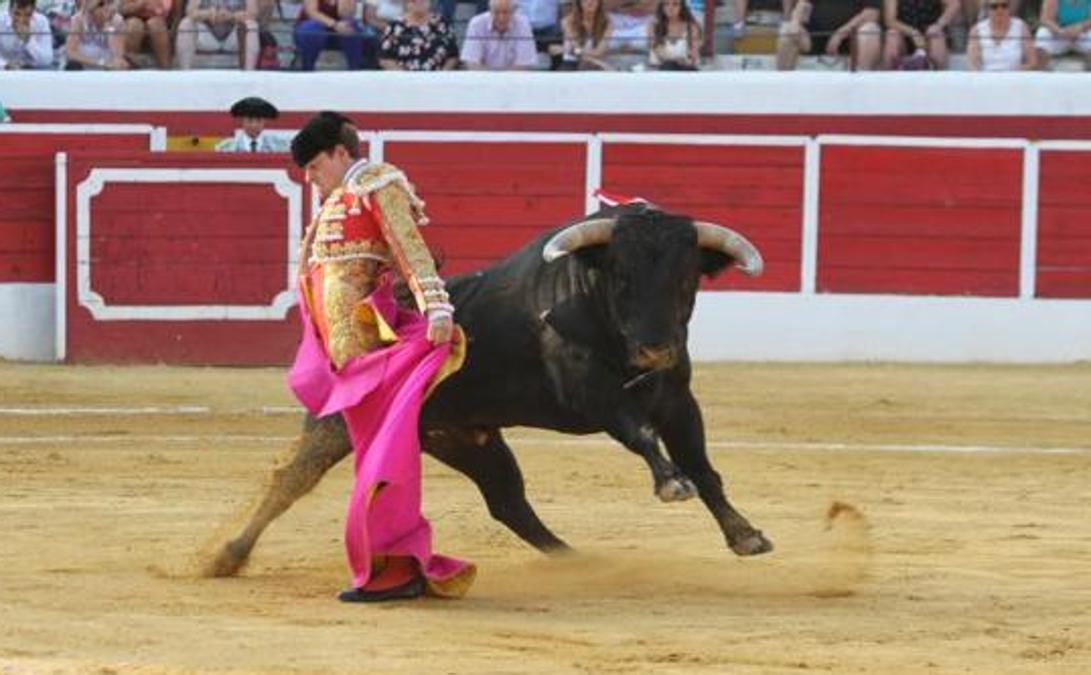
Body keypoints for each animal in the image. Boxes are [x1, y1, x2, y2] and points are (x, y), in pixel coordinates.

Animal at [202, 202, 768, 580]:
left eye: (686, 281)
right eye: (620, 276)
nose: (655, 349)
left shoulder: (678, 401)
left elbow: (704, 469)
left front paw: (745, 535)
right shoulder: (594, 396)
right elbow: (643, 435)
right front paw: (671, 484)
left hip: (466, 439)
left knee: (507, 501)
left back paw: (575, 560)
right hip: (338, 424)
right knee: (292, 477)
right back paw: (225, 556)